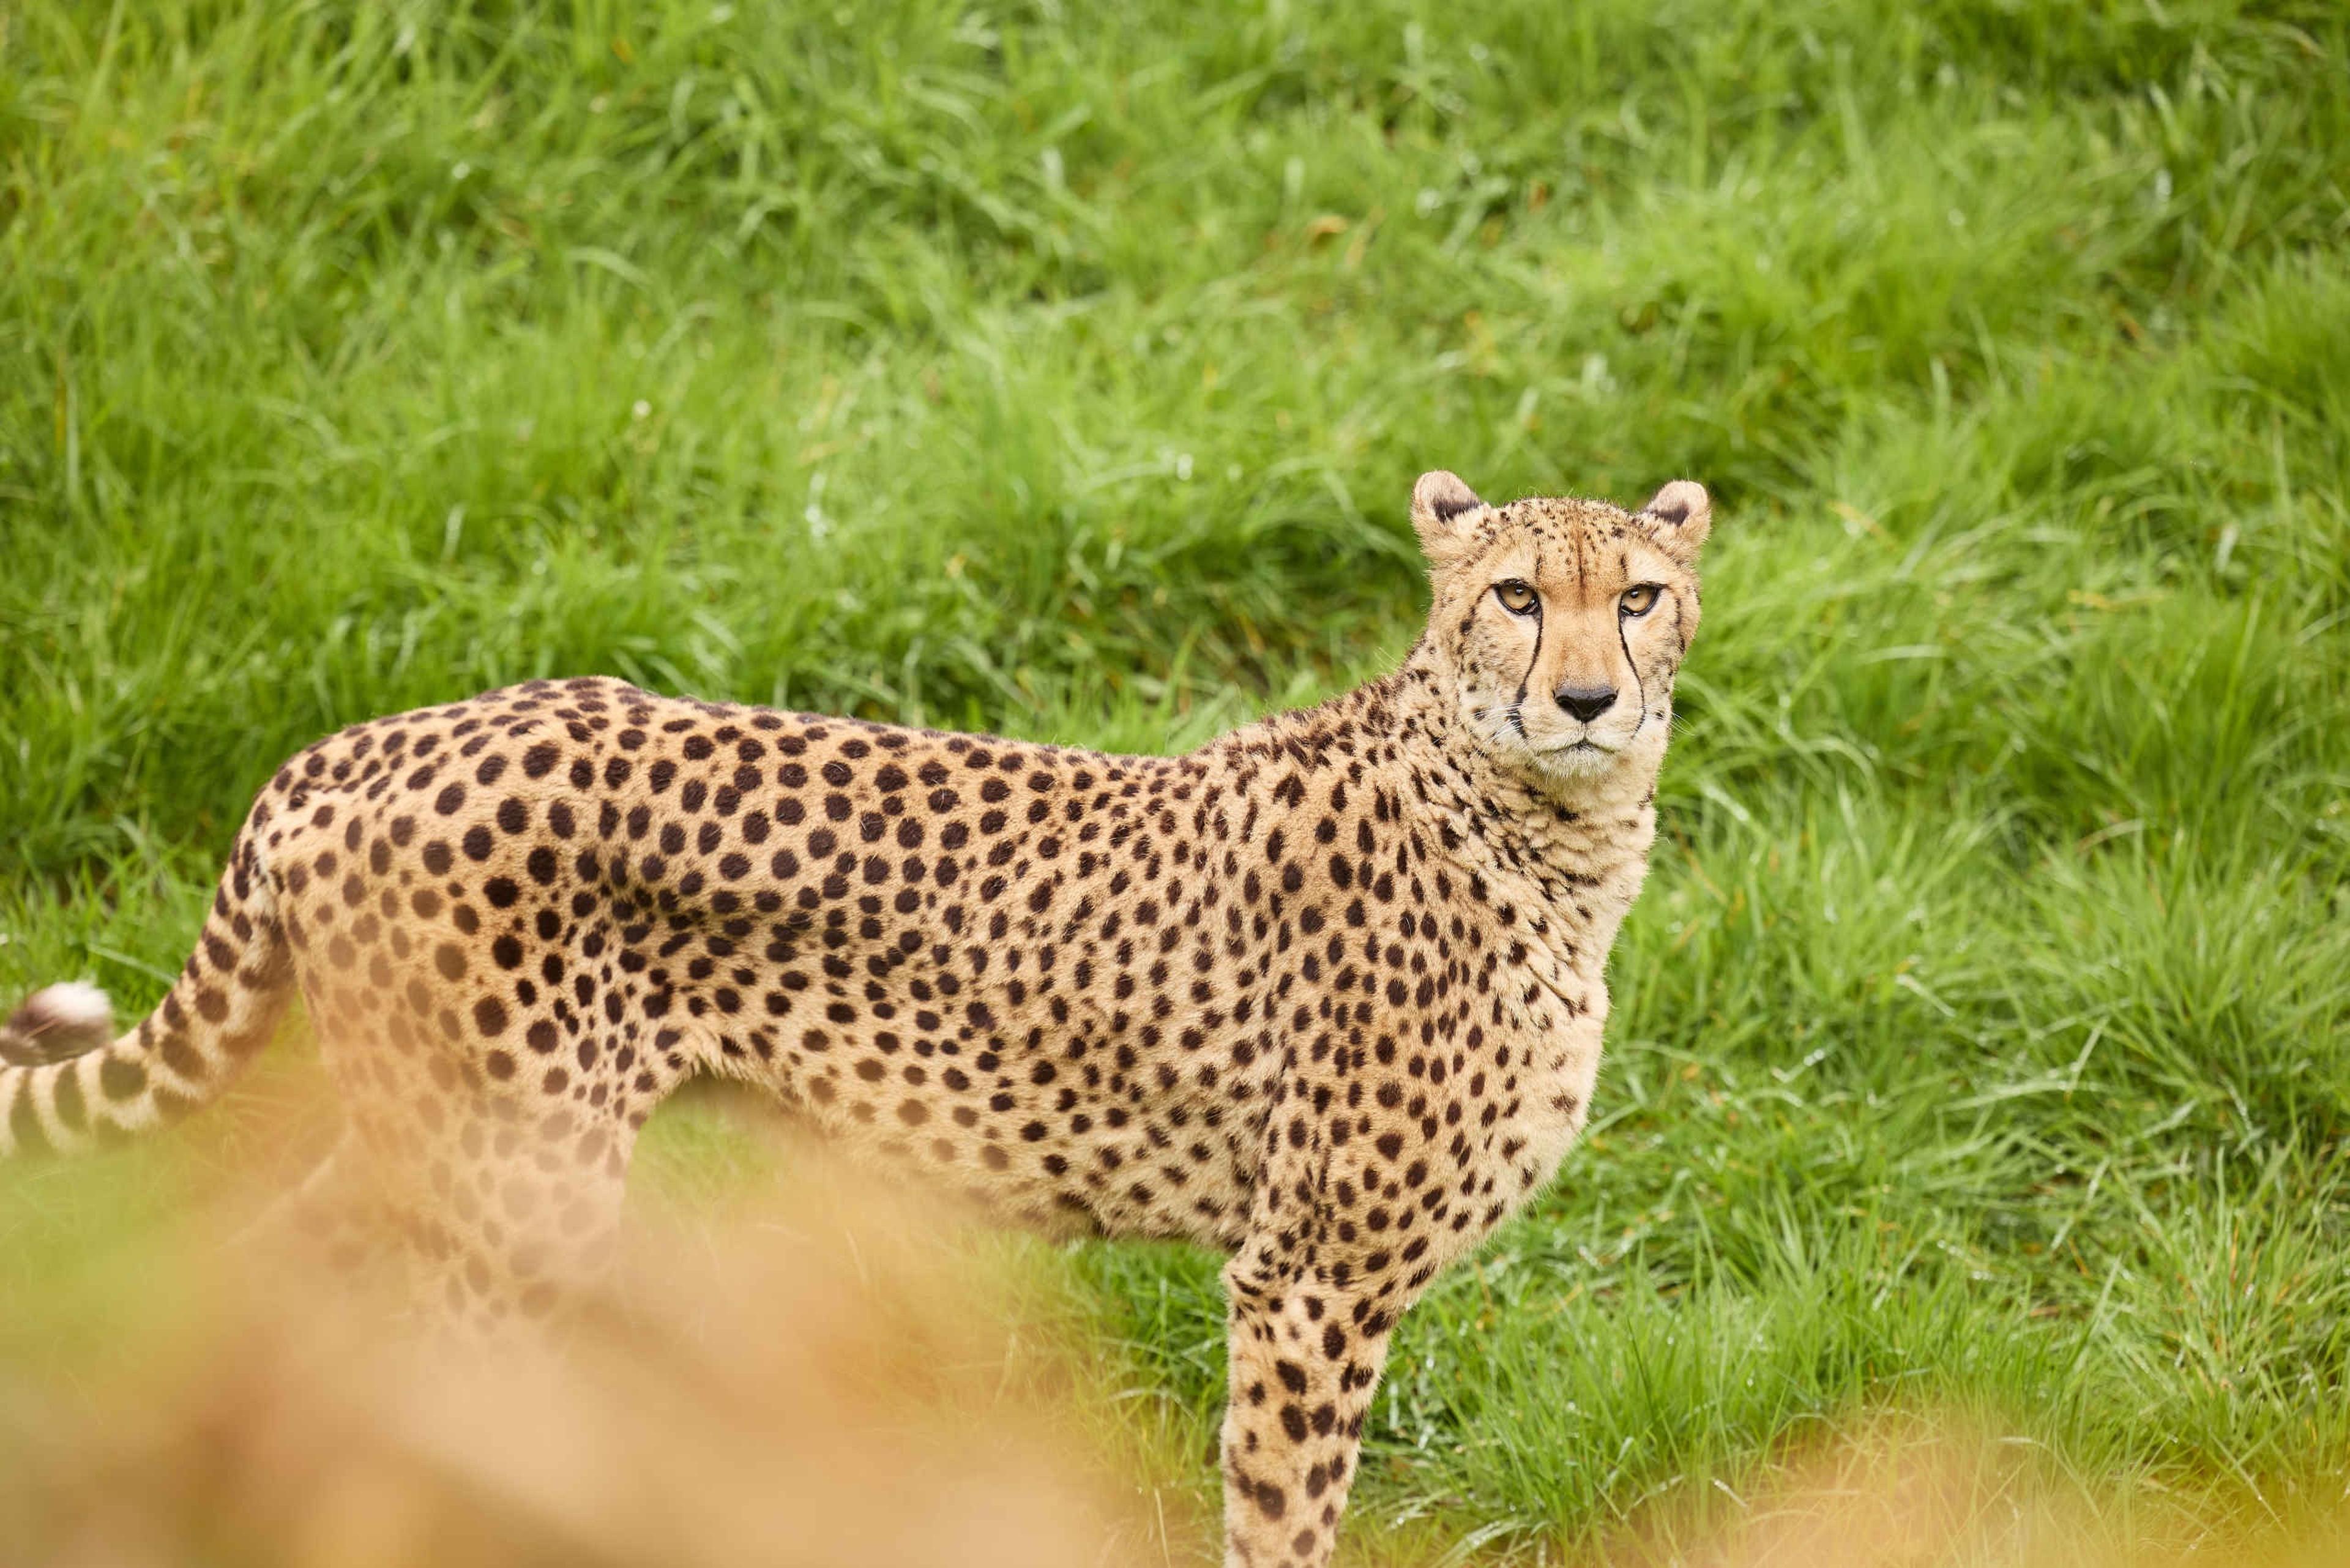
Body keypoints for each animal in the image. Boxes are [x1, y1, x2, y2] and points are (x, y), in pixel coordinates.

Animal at [1, 470, 1712, 1568]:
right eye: (1516, 597)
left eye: (1636, 598)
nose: (1584, 702)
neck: (1540, 824)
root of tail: (362, 741)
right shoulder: (1309, 1276)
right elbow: (1282, 1513)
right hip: (519, 1182)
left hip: (434, 1147)